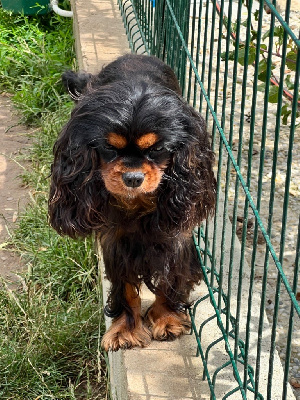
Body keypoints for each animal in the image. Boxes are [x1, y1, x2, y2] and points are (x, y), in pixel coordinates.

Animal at [48, 53, 216, 350]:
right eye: (109, 148)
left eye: (158, 149)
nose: (134, 177)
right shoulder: (116, 243)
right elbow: (125, 287)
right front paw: (125, 330)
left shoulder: (176, 237)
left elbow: (171, 276)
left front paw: (168, 319)